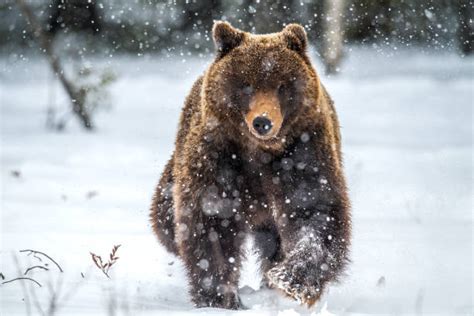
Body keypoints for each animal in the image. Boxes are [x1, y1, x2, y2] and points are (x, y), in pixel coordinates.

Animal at [150, 21, 350, 308]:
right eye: (246, 85)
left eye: (282, 85)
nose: (263, 122)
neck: (258, 152)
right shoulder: (219, 158)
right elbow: (212, 221)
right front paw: (219, 297)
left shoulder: (303, 152)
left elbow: (314, 209)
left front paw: (291, 279)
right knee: (164, 217)